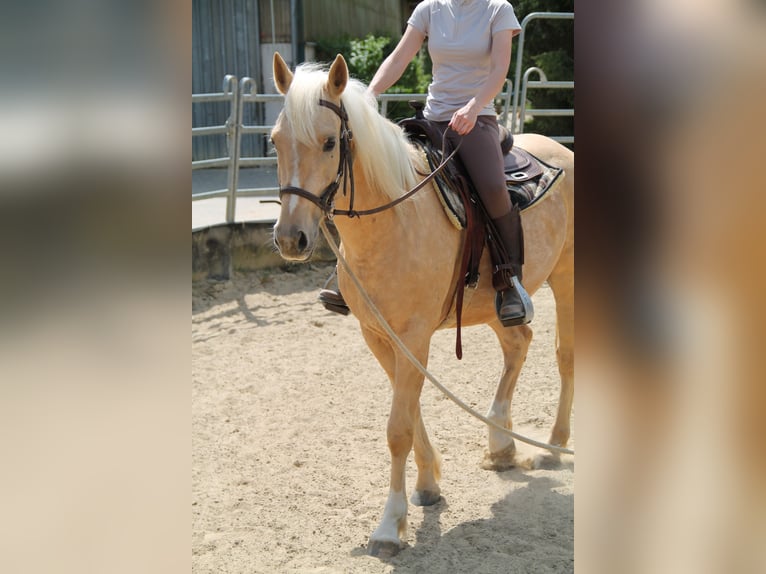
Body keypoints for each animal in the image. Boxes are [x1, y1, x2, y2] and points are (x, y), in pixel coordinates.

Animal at [270, 52, 574, 557]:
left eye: (330, 142)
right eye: (274, 141)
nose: (291, 239)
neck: (394, 220)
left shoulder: (413, 337)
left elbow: (398, 428)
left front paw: (389, 526)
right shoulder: (378, 335)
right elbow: (408, 411)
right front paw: (428, 484)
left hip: (566, 278)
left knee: (563, 355)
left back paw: (554, 444)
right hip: (493, 302)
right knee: (518, 341)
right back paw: (501, 442)